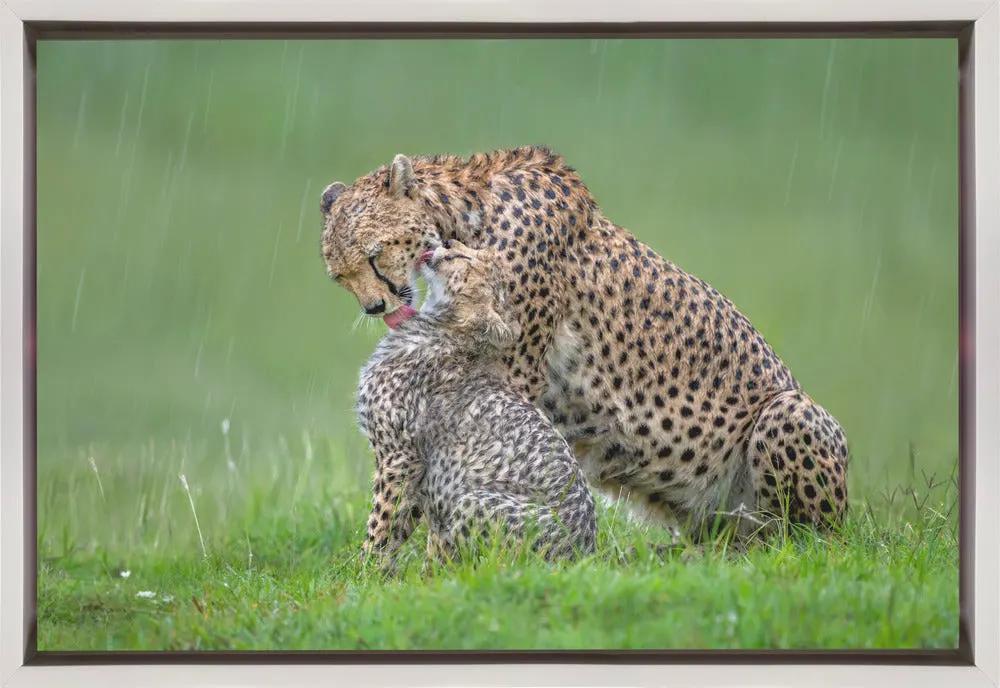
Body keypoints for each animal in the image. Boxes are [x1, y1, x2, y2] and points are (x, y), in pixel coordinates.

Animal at [355, 237, 597, 566]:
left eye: (464, 258)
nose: (447, 241)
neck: (445, 328)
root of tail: (584, 552)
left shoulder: (401, 457)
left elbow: (382, 523)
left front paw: (361, 571)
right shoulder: (418, 472)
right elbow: (402, 526)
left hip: (469, 500)